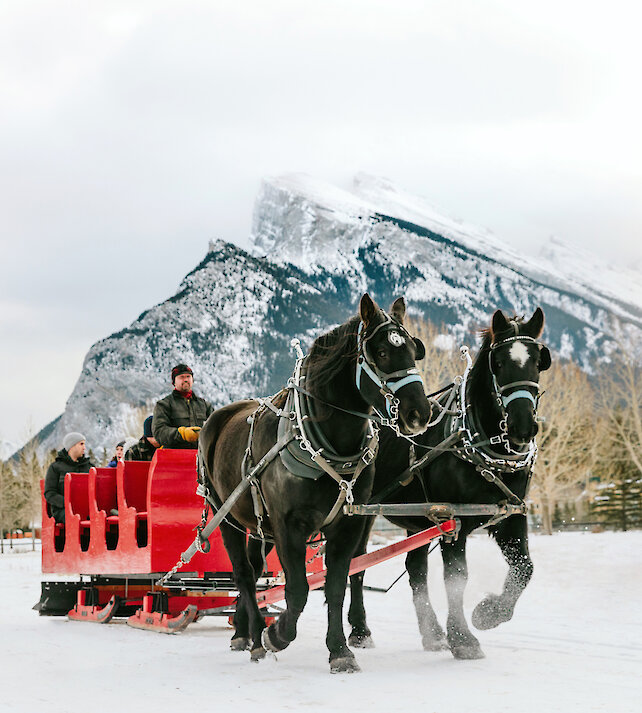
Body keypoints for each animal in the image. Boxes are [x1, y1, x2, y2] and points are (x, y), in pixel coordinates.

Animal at [200, 292, 430, 672]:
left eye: (414, 349)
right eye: (382, 352)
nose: (419, 414)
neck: (328, 442)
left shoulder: (347, 525)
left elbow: (336, 586)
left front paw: (339, 650)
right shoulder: (288, 526)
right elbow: (298, 590)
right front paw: (277, 634)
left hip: (259, 527)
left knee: (255, 568)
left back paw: (245, 631)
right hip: (226, 517)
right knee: (244, 574)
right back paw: (256, 637)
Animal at [344, 304, 552, 656]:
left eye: (539, 362)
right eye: (498, 363)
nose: (523, 426)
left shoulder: (511, 515)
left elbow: (525, 567)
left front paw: (488, 614)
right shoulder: (452, 520)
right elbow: (456, 577)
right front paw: (463, 638)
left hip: (417, 520)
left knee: (415, 570)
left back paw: (432, 633)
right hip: (362, 513)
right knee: (355, 564)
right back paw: (360, 630)